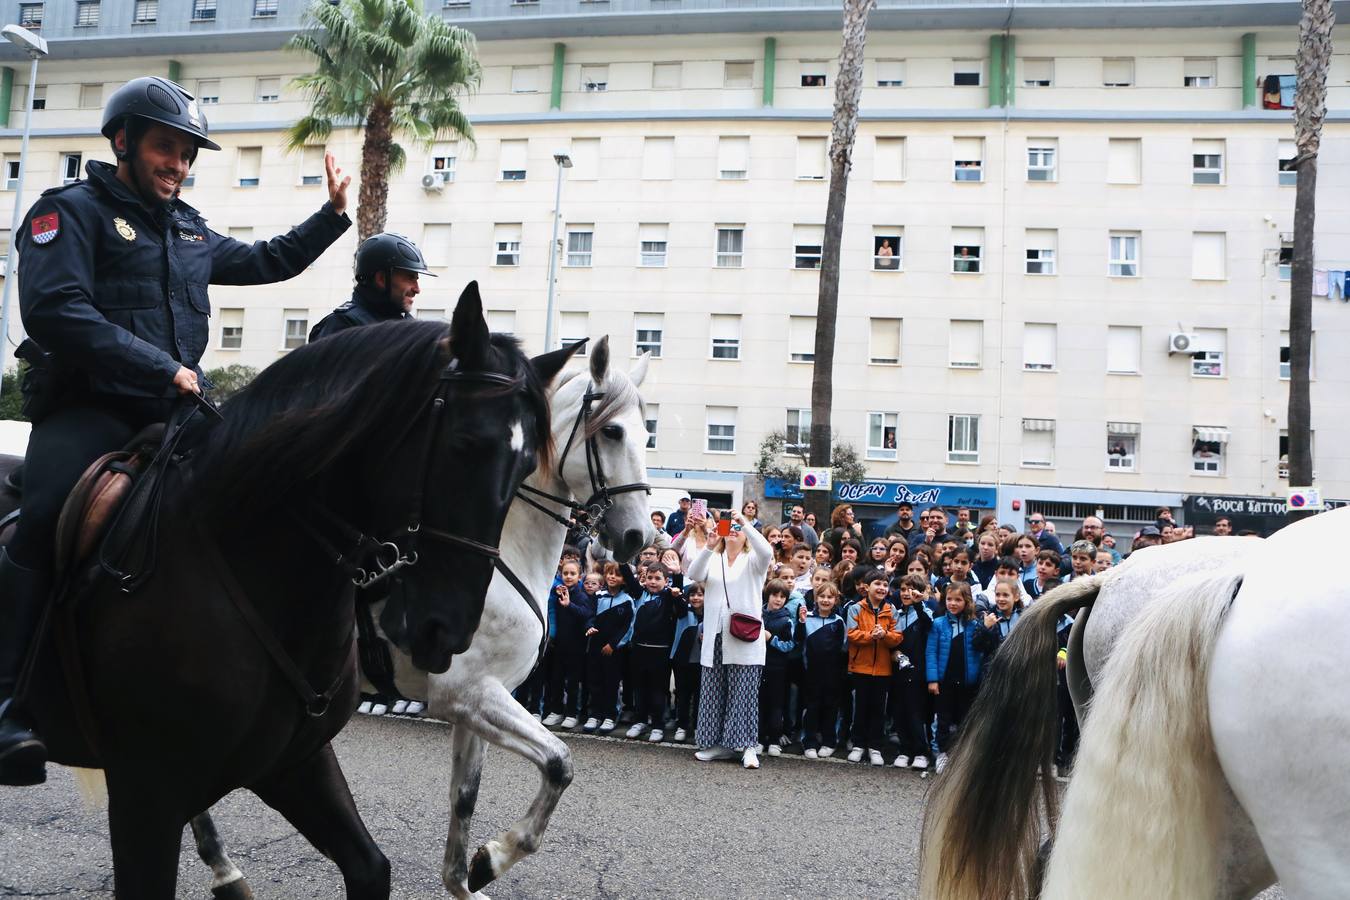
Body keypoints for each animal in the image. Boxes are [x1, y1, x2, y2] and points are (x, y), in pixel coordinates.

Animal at [0, 283, 575, 900]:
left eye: (526, 464)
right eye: (468, 444)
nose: (445, 632)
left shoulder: (300, 762)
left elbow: (443, 817)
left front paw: (476, 869)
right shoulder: (145, 794)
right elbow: (552, 764)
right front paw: (488, 861)